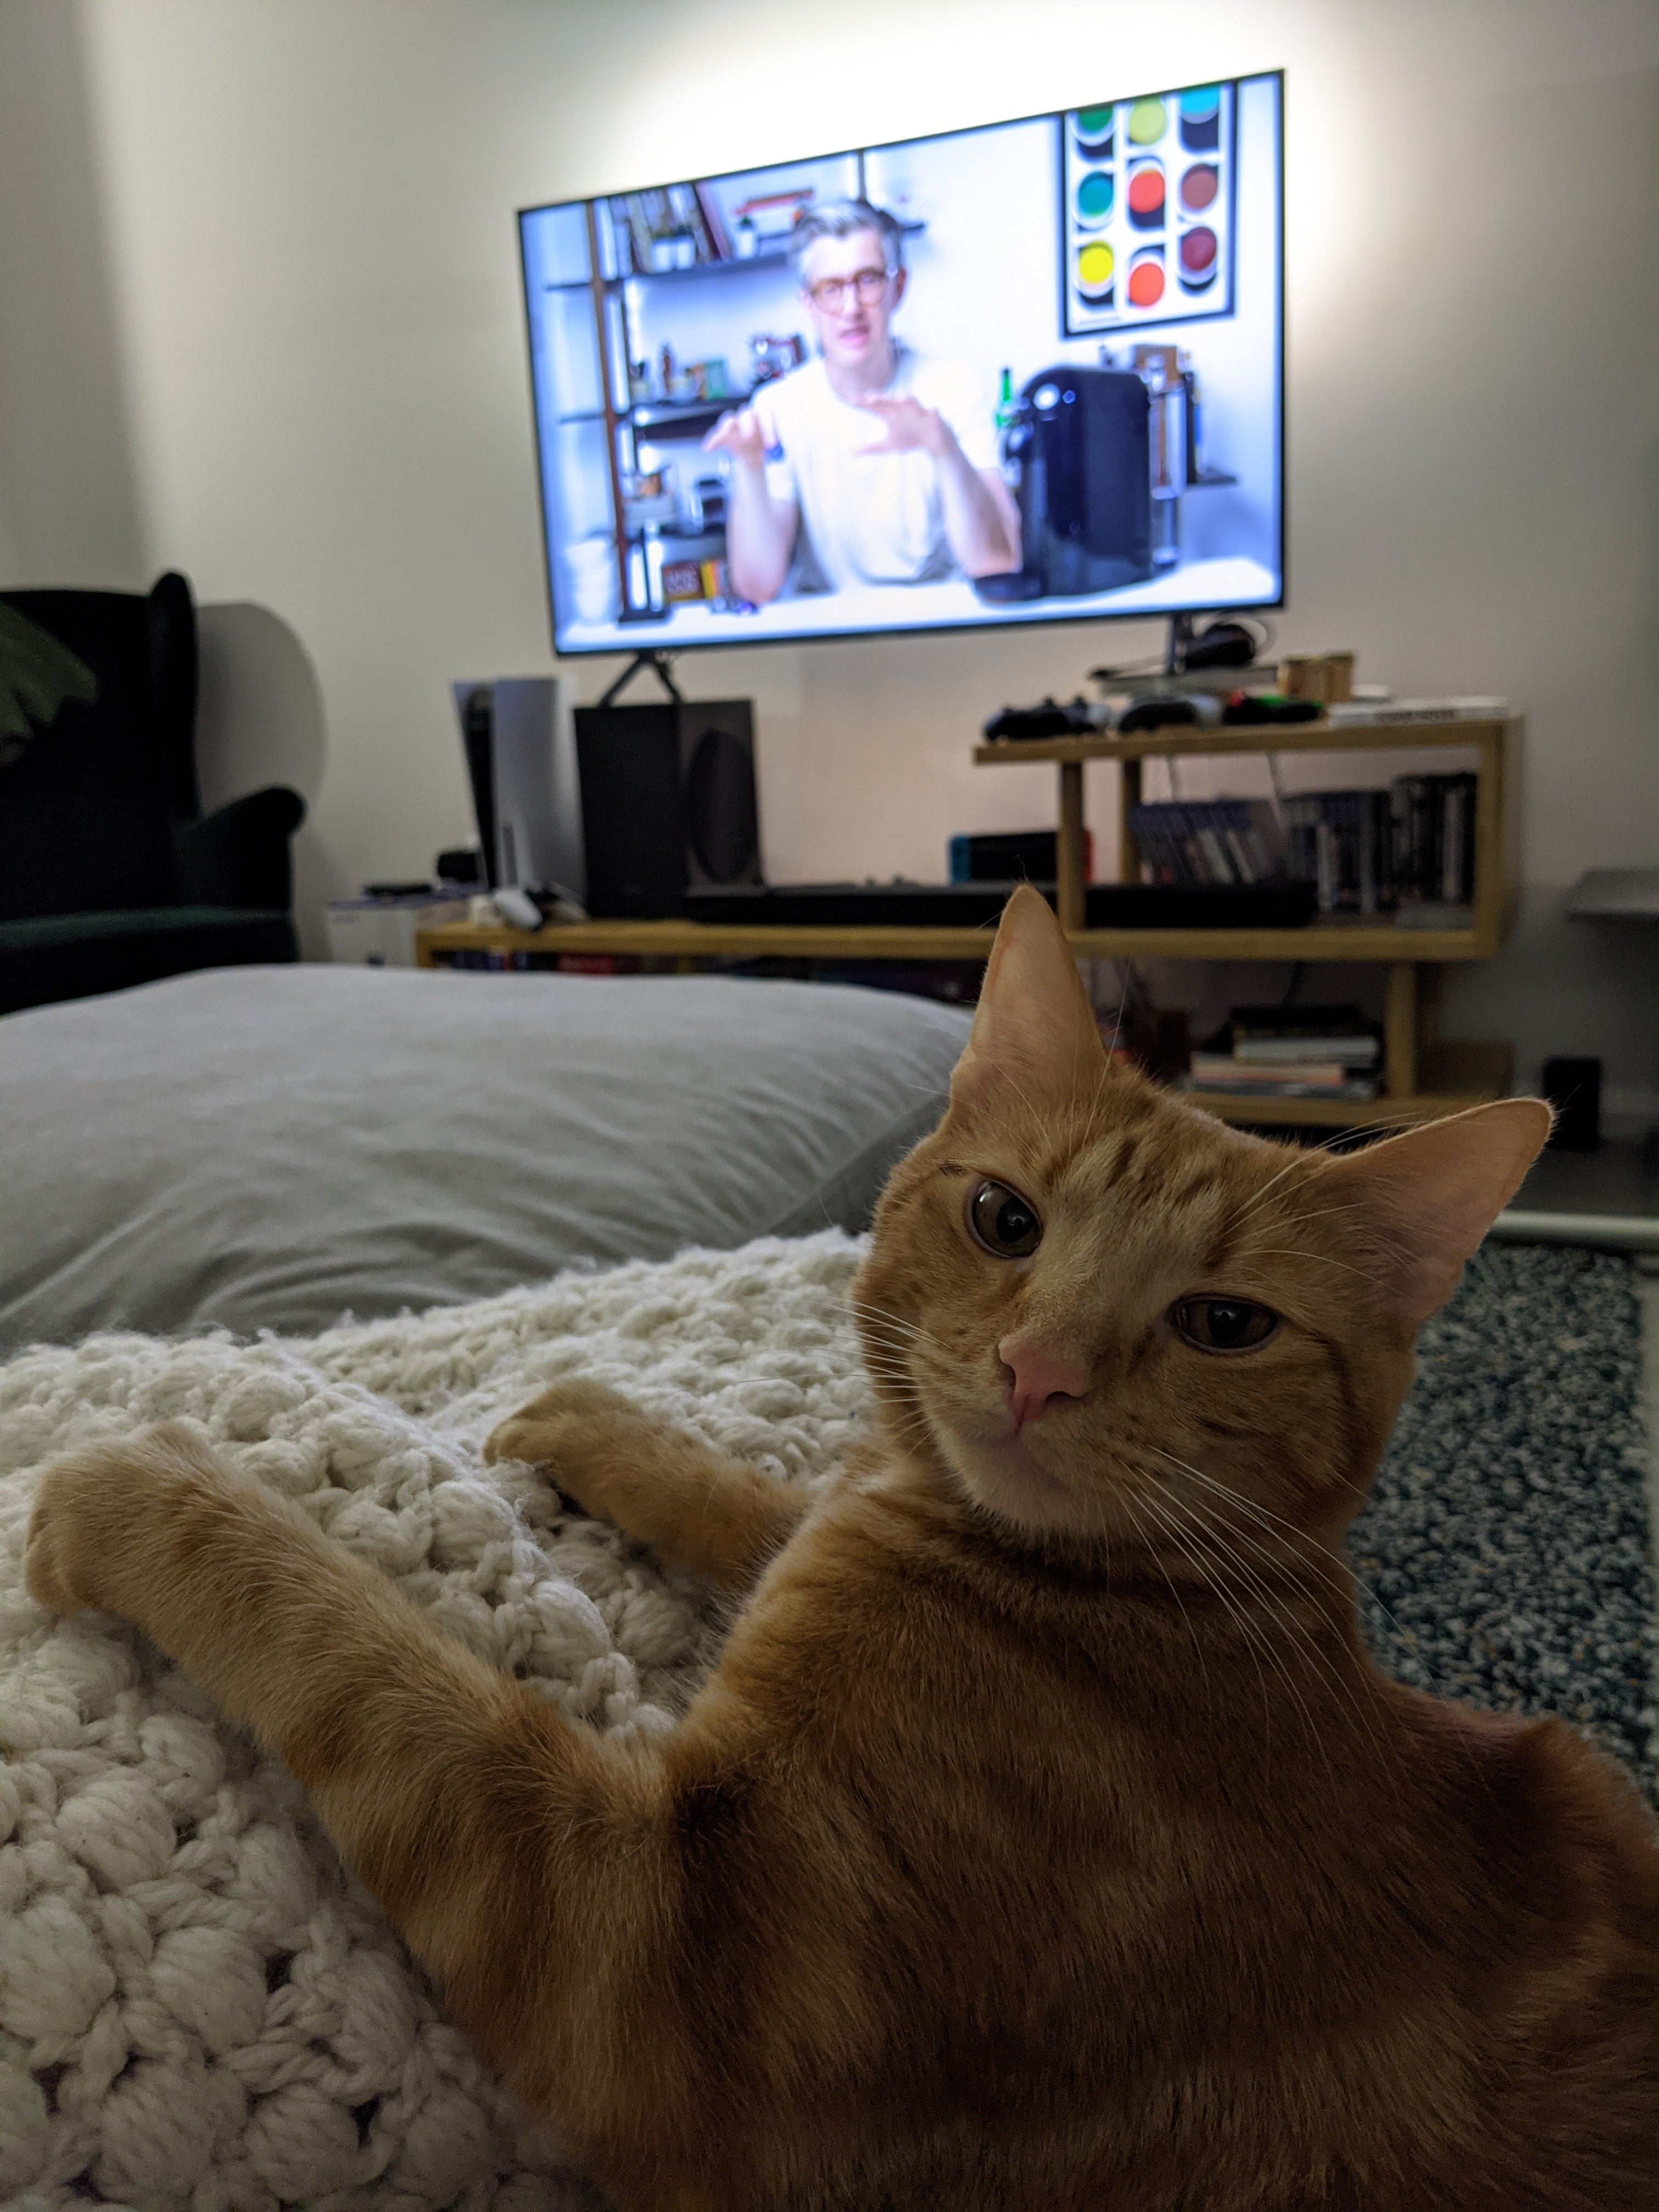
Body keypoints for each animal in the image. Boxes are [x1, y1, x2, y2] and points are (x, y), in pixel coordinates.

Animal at [26, 884, 1659, 2212]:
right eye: (1005, 1218)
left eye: (1223, 1323)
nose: (1039, 1371)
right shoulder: (838, 1522)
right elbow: (768, 1507)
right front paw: (605, 1427)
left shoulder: (662, 1961)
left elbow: (371, 1666)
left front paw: (145, 1483)